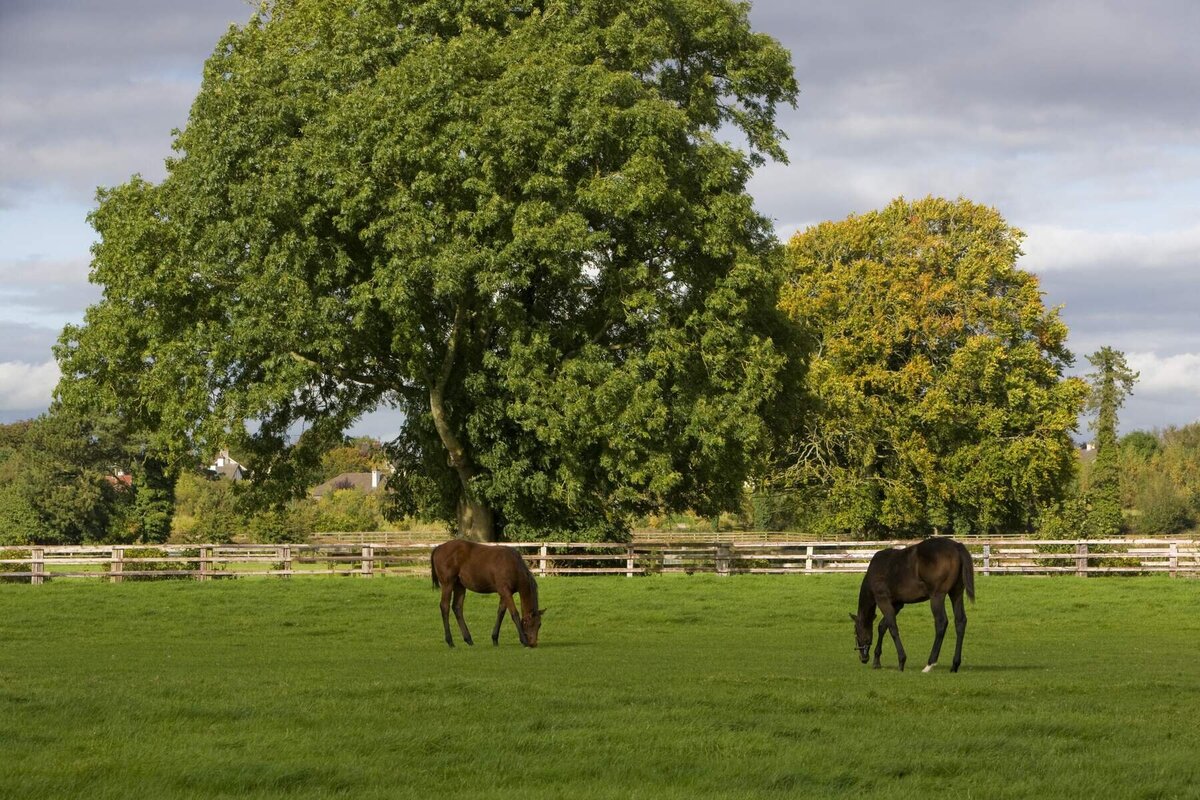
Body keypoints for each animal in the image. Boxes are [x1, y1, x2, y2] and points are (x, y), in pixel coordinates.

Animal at [854, 537, 974, 676]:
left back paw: (930, 664)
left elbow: (892, 628)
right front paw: (877, 660)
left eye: (856, 631)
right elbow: (883, 626)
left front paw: (901, 661)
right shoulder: (897, 604)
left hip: (937, 596)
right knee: (960, 621)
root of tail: (956, 546)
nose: (863, 658)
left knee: (941, 622)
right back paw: (955, 664)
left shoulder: (882, 600)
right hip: (956, 593)